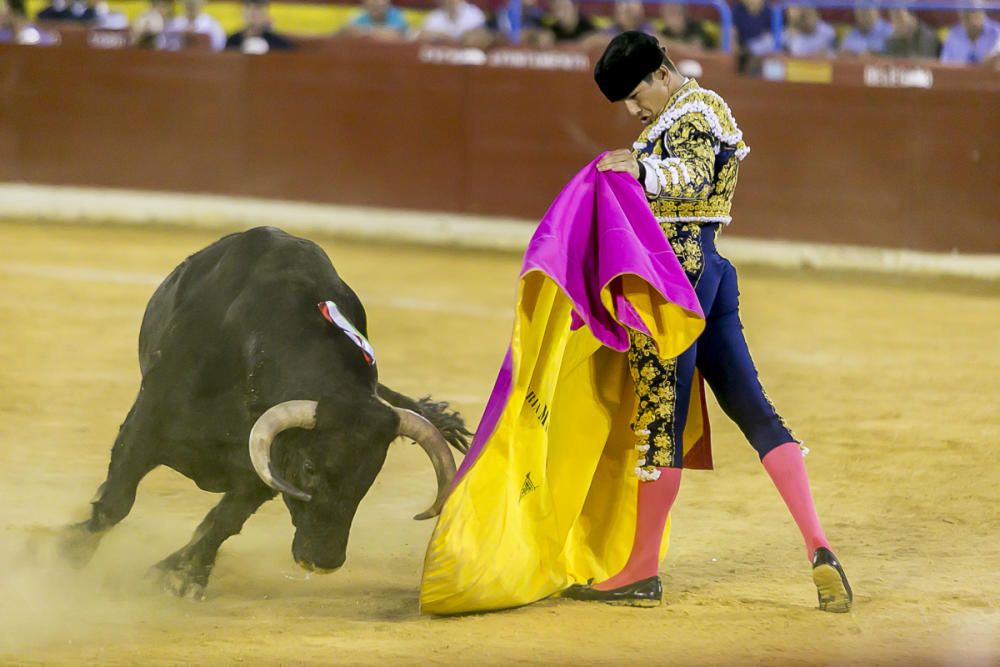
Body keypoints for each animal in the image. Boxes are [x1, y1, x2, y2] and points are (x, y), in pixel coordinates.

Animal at [61, 230, 472, 600]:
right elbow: (116, 502)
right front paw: (65, 556)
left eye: (370, 475)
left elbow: (222, 522)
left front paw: (179, 577)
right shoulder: (145, 425)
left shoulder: (261, 470)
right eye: (309, 467)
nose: (322, 561)